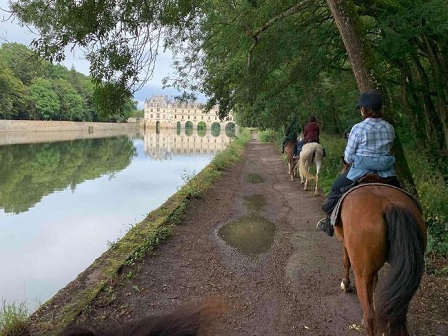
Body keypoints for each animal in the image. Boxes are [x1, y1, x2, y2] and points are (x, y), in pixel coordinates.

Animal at [336, 164, 428, 334]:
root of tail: (389, 204)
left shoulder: (345, 242)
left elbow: (346, 262)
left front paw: (345, 284)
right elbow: (376, 280)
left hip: (362, 275)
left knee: (369, 317)